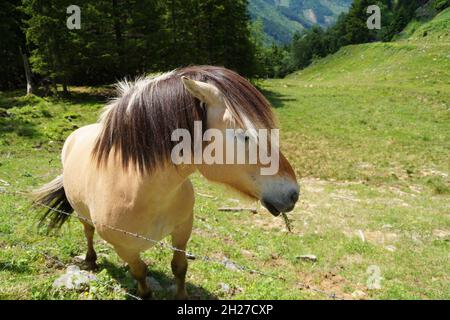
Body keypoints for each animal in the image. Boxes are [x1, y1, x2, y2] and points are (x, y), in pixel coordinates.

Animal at [33, 66, 300, 298]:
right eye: (244, 136)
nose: (293, 193)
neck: (140, 190)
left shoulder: (183, 229)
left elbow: (179, 267)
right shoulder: (125, 248)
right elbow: (140, 273)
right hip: (82, 213)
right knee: (88, 232)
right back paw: (90, 259)